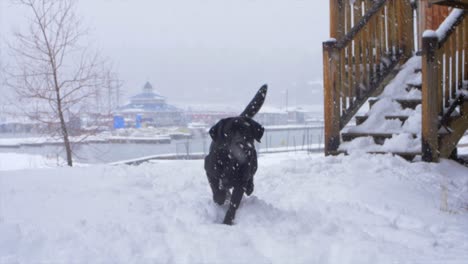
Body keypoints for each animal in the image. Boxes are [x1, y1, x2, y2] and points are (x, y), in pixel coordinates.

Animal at [204, 84, 266, 225]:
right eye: (229, 132)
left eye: (247, 132)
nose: (241, 144)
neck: (231, 161)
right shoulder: (209, 169)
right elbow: (216, 189)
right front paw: (220, 197)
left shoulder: (240, 183)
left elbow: (234, 204)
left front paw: (227, 222)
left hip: (254, 163)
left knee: (251, 177)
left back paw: (250, 187)